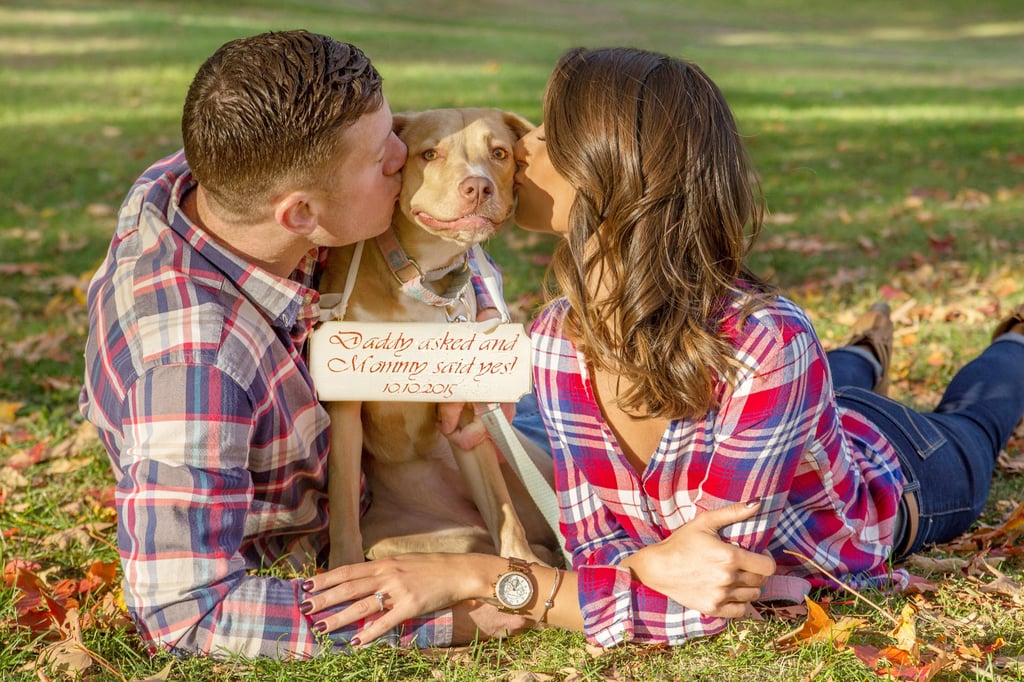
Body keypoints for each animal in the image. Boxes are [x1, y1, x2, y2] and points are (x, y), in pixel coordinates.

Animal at [321, 109, 557, 565]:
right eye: (429, 154)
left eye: (499, 153)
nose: (478, 186)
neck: (421, 276)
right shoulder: (345, 403)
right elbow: (341, 505)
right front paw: (341, 568)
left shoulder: (466, 409)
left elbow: (502, 509)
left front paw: (522, 562)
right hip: (400, 539)